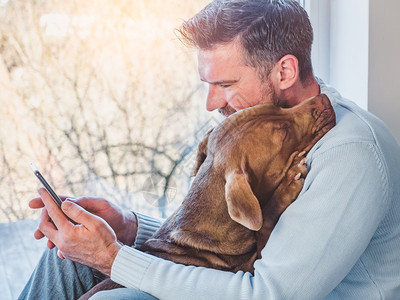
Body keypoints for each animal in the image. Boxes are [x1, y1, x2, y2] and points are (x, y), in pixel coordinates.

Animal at [78, 94, 334, 298]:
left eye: (279, 105)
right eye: (284, 133)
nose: (324, 98)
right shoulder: (247, 270)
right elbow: (266, 223)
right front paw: (288, 184)